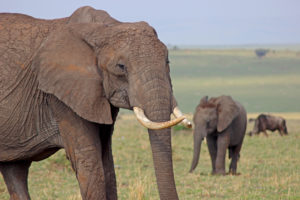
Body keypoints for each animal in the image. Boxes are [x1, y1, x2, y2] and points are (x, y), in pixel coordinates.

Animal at [0, 6, 191, 200]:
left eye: (167, 61)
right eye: (121, 67)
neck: (104, 28)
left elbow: (107, 163)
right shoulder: (62, 95)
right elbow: (89, 161)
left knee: (15, 170)